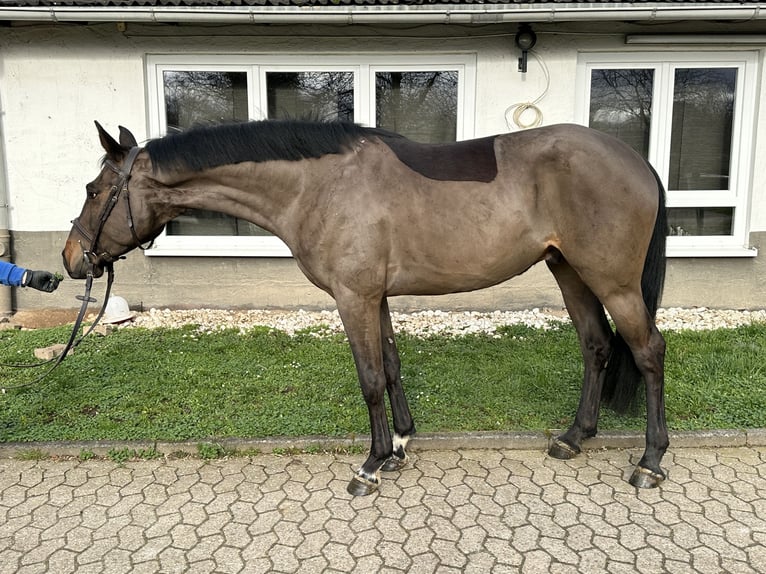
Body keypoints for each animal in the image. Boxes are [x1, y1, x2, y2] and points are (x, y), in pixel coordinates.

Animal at [63, 119, 668, 498]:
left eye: (94, 190)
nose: (71, 259)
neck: (318, 185)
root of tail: (638, 162)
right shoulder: (374, 297)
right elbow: (392, 367)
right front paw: (399, 446)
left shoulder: (353, 299)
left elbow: (371, 379)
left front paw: (371, 466)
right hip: (569, 271)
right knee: (596, 345)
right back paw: (574, 438)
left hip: (613, 282)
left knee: (648, 352)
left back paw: (649, 461)